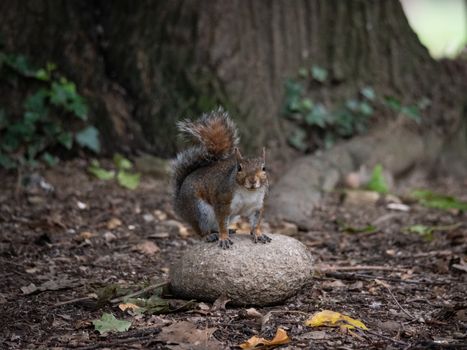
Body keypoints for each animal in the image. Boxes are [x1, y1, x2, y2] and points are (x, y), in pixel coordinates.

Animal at [174, 108, 272, 247]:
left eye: (264, 168)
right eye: (239, 168)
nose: (252, 180)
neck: (248, 192)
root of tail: (178, 203)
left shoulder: (257, 206)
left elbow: (256, 223)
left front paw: (258, 234)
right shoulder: (222, 202)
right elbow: (222, 223)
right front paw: (224, 238)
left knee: (214, 226)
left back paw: (227, 231)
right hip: (199, 210)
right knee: (200, 229)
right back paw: (208, 236)